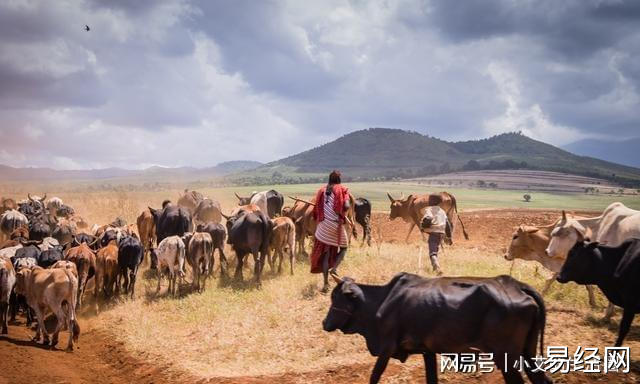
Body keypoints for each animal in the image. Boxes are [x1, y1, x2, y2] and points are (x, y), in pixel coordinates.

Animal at [324, 272, 552, 384]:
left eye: (335, 297)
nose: (324, 324)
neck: (383, 299)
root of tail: (518, 286)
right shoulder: (427, 351)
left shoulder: (387, 346)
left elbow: (374, 376)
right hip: (527, 353)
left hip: (505, 357)